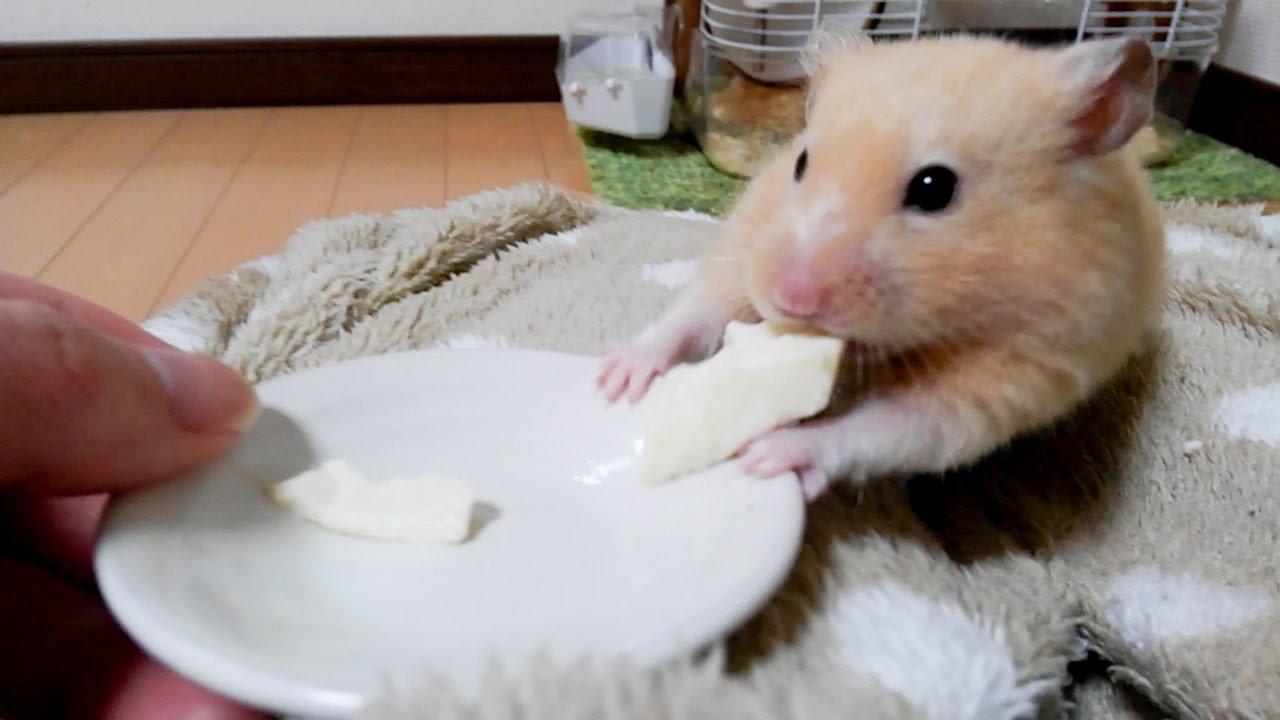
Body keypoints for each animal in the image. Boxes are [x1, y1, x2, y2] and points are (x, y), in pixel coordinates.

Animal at [597, 33, 1166, 500]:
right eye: (801, 163)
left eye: (934, 188)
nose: (791, 300)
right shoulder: (745, 247)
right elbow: (698, 310)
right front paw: (617, 377)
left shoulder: (1016, 372)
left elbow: (889, 427)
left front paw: (767, 454)